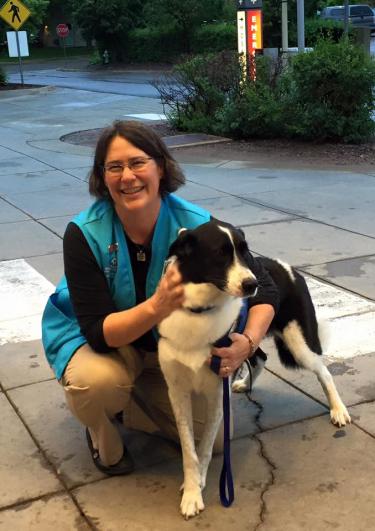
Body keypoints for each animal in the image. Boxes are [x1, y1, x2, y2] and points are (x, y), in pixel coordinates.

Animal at [157, 220, 352, 520]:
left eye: (245, 252)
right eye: (220, 253)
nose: (252, 285)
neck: (199, 310)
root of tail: (288, 268)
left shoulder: (217, 392)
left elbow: (204, 446)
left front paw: (197, 485)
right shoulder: (177, 392)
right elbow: (189, 449)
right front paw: (192, 490)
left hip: (298, 343)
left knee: (324, 370)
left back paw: (338, 409)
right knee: (259, 356)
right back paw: (245, 383)